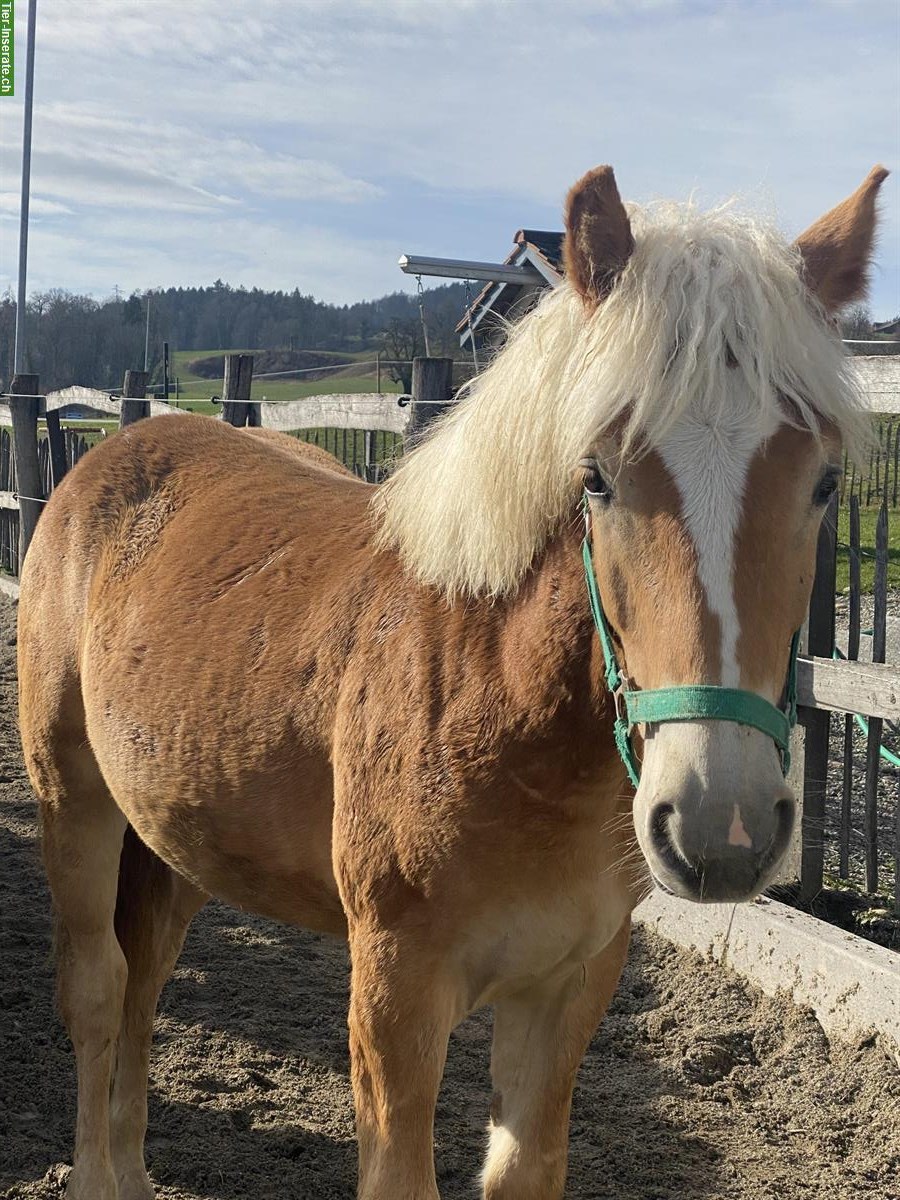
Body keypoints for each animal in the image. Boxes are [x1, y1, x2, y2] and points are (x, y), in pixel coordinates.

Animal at [15, 162, 888, 1200]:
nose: (723, 827)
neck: (494, 697)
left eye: (825, 481)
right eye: (597, 476)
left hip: (176, 834)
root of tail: (103, 461)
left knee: (145, 983)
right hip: (74, 803)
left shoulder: (568, 990)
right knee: (97, 989)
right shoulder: (397, 996)